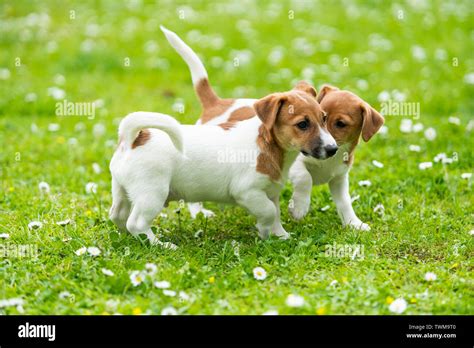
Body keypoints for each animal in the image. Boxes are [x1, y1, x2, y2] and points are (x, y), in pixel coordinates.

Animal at [108, 85, 336, 246]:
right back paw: (160, 244)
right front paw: (264, 230)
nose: (333, 149)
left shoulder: (271, 192)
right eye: (302, 124)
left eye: (324, 118)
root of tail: (133, 139)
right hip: (152, 194)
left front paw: (280, 236)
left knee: (118, 216)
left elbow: (276, 215)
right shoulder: (248, 192)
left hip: (122, 191)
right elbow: (269, 212)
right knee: (136, 222)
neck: (266, 143)